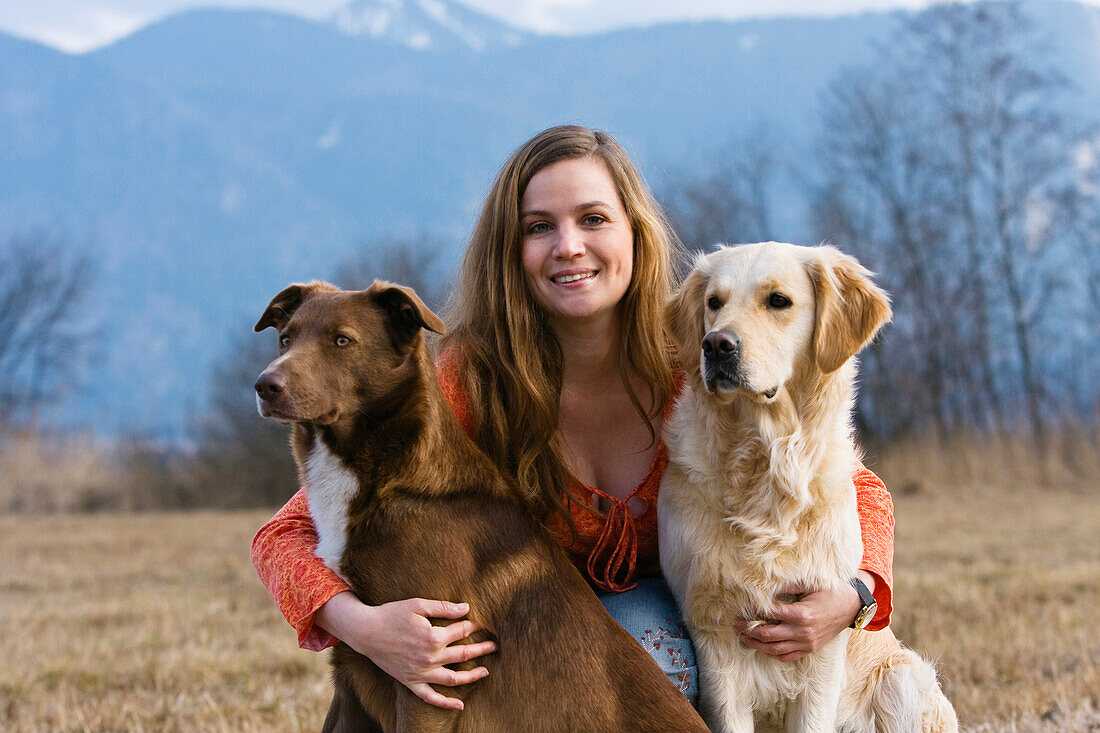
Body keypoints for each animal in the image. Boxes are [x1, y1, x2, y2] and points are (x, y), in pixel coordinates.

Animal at [254, 279, 708, 730]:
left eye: (342, 340)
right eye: (285, 339)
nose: (264, 386)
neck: (392, 483)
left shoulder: (432, 674)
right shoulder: (359, 664)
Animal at [655, 242, 959, 726]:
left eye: (778, 300)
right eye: (714, 303)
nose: (715, 345)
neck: (766, 461)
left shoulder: (822, 649)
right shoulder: (713, 635)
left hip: (903, 679)